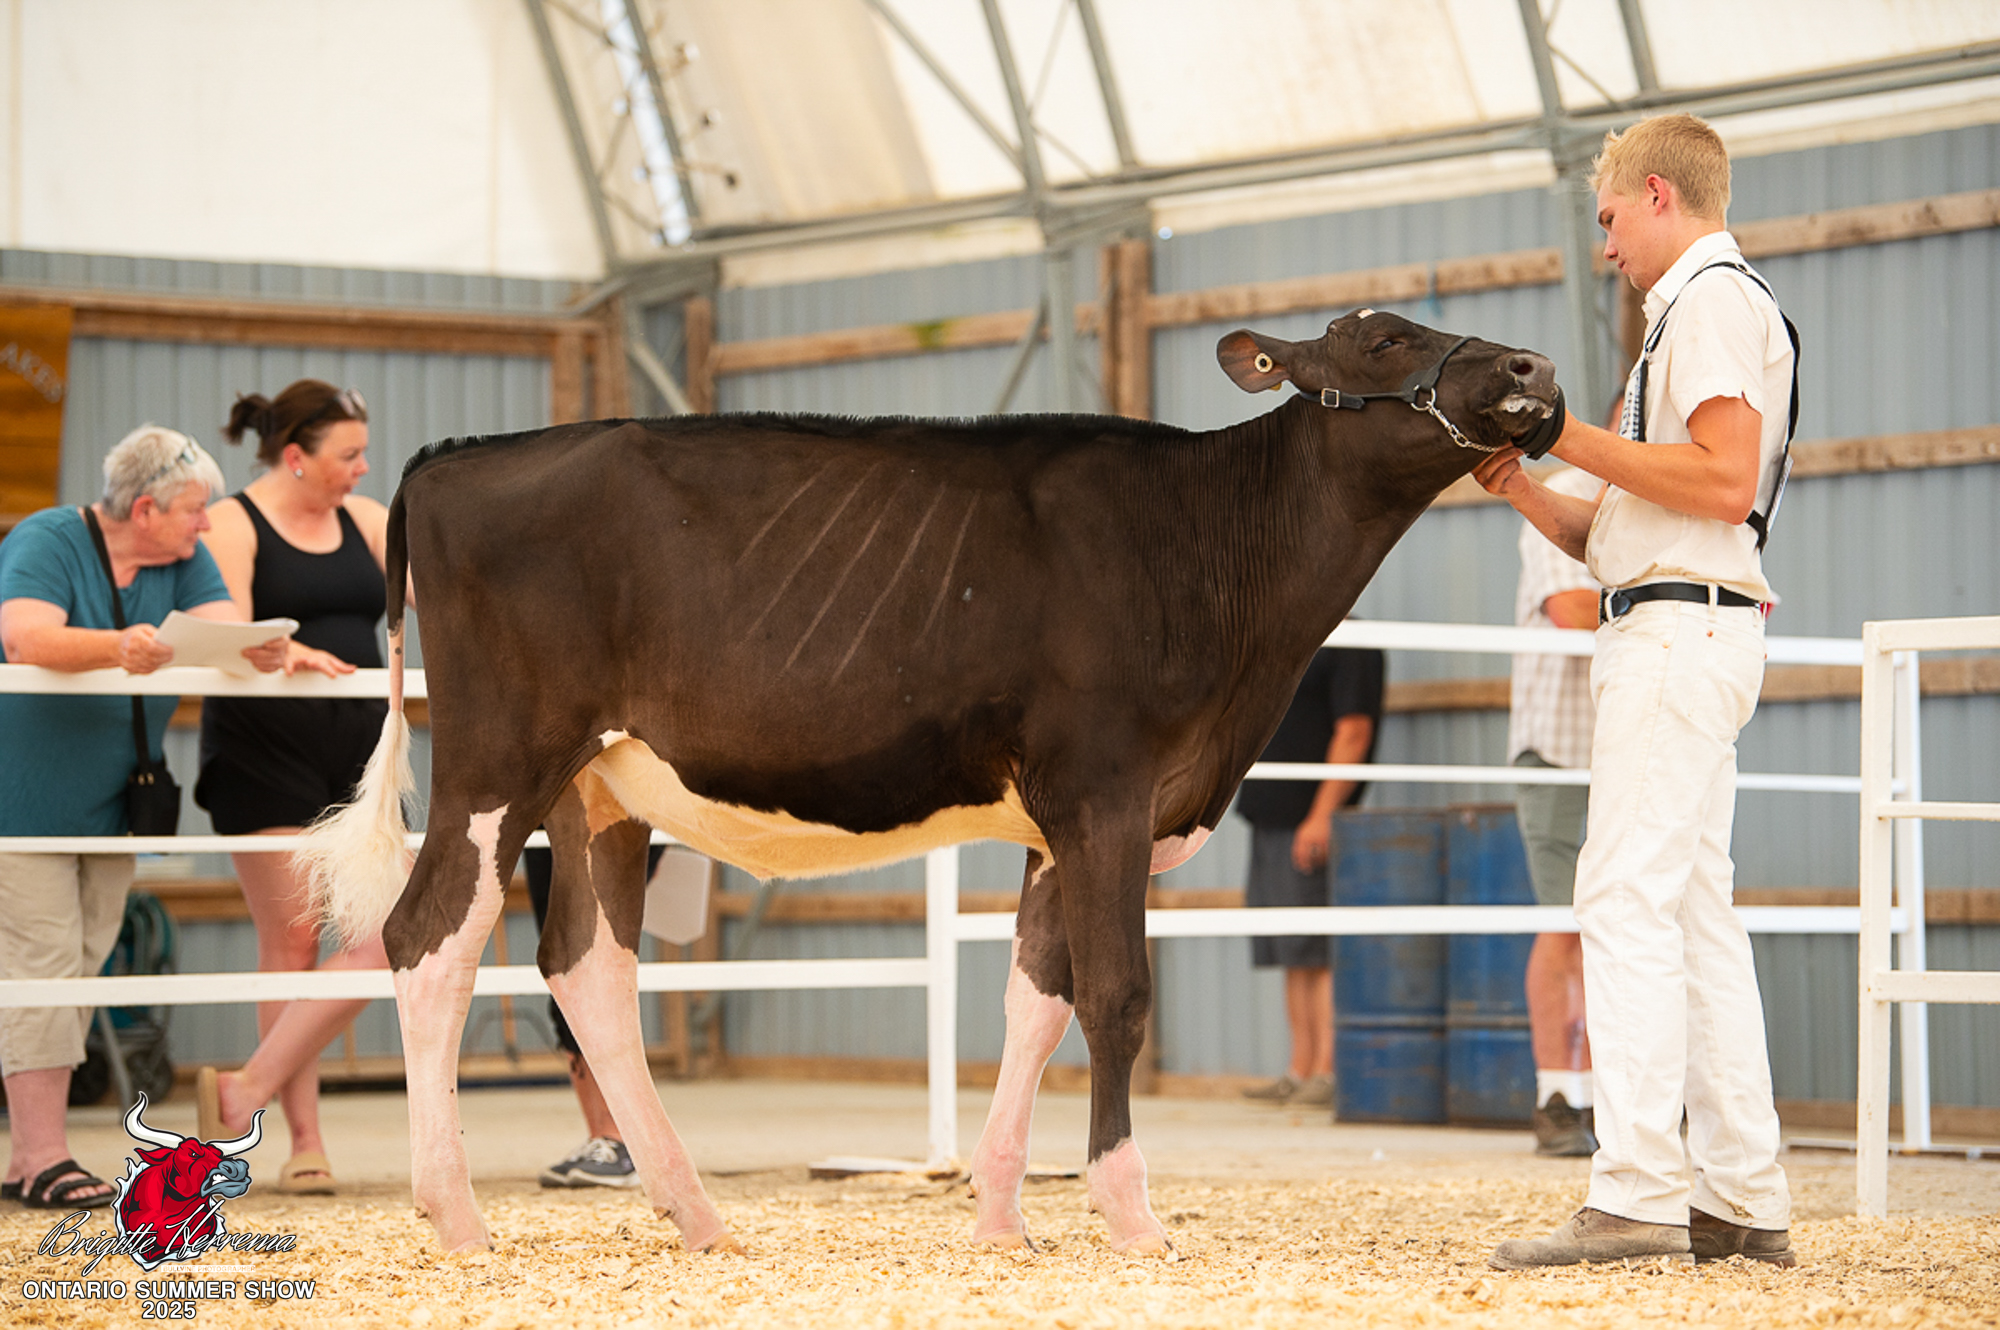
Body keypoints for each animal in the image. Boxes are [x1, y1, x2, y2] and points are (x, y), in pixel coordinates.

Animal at [301, 308, 1561, 1258]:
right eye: (1384, 339)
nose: (1533, 370)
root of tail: (459, 454)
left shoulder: (1062, 820)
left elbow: (1034, 999)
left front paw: (1002, 1212)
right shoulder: (1104, 789)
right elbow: (1116, 995)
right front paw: (1130, 1214)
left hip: (599, 787)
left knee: (586, 970)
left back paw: (695, 1211)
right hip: (498, 756)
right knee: (428, 936)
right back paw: (456, 1213)